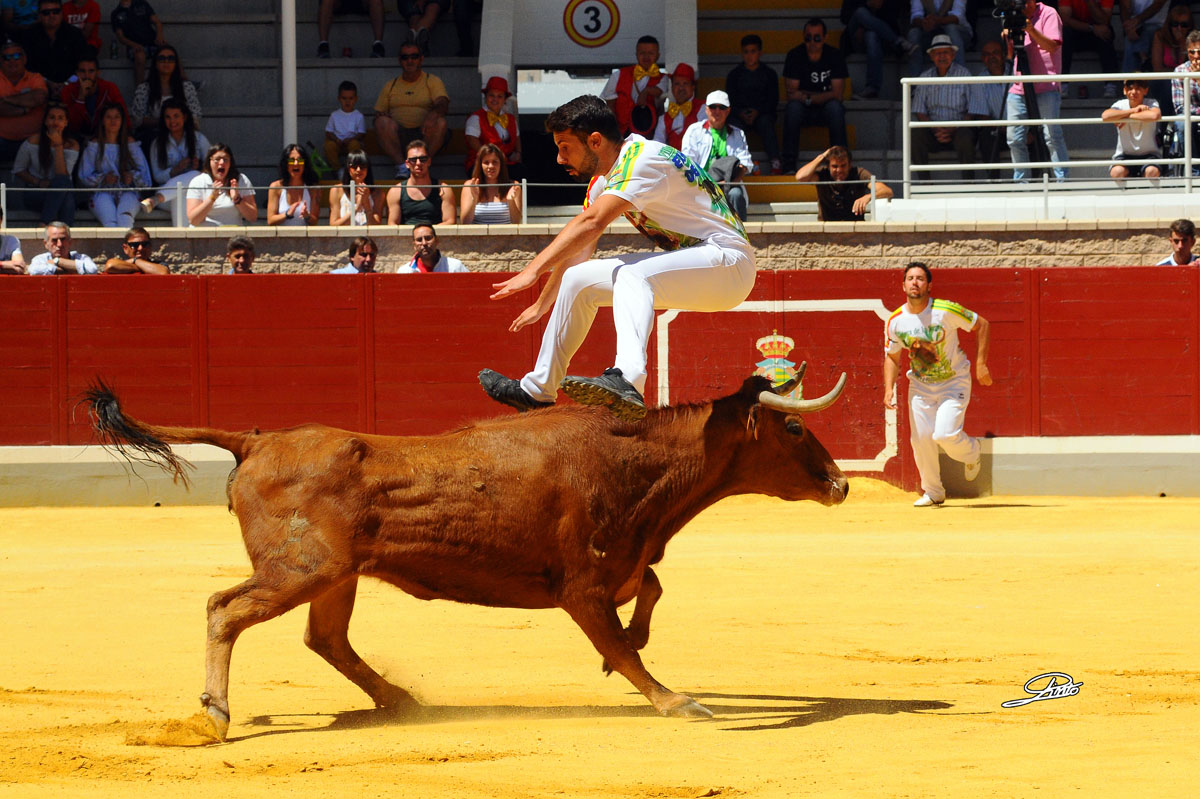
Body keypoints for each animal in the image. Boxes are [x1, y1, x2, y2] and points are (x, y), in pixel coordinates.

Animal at [84, 369, 849, 739]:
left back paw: (400, 699)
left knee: (325, 638)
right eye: (792, 427)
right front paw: (678, 701)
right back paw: (214, 714)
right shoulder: (581, 585)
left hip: (336, 575)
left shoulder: (620, 566)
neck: (632, 461)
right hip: (300, 569)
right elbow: (625, 644)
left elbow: (650, 591)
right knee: (225, 608)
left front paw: (631, 652)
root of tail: (257, 437)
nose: (841, 483)